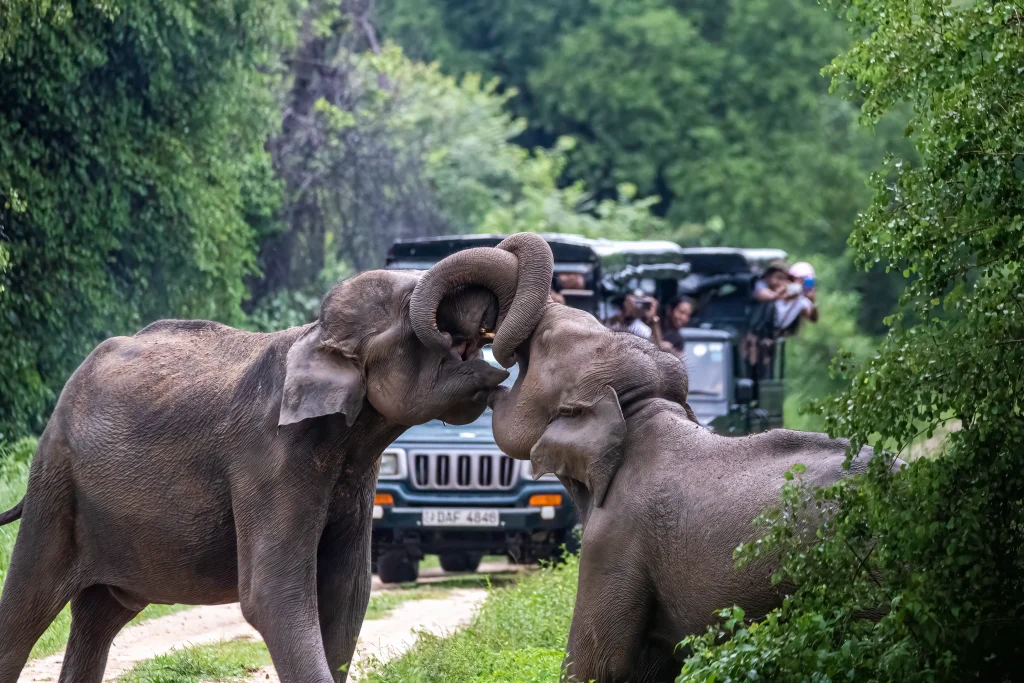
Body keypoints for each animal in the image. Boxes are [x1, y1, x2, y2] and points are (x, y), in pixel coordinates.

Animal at [0, 233, 553, 683]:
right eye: (408, 309)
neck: (315, 337)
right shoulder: (270, 456)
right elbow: (274, 596)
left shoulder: (358, 473)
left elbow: (347, 596)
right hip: (56, 483)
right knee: (26, 607)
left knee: (100, 615)